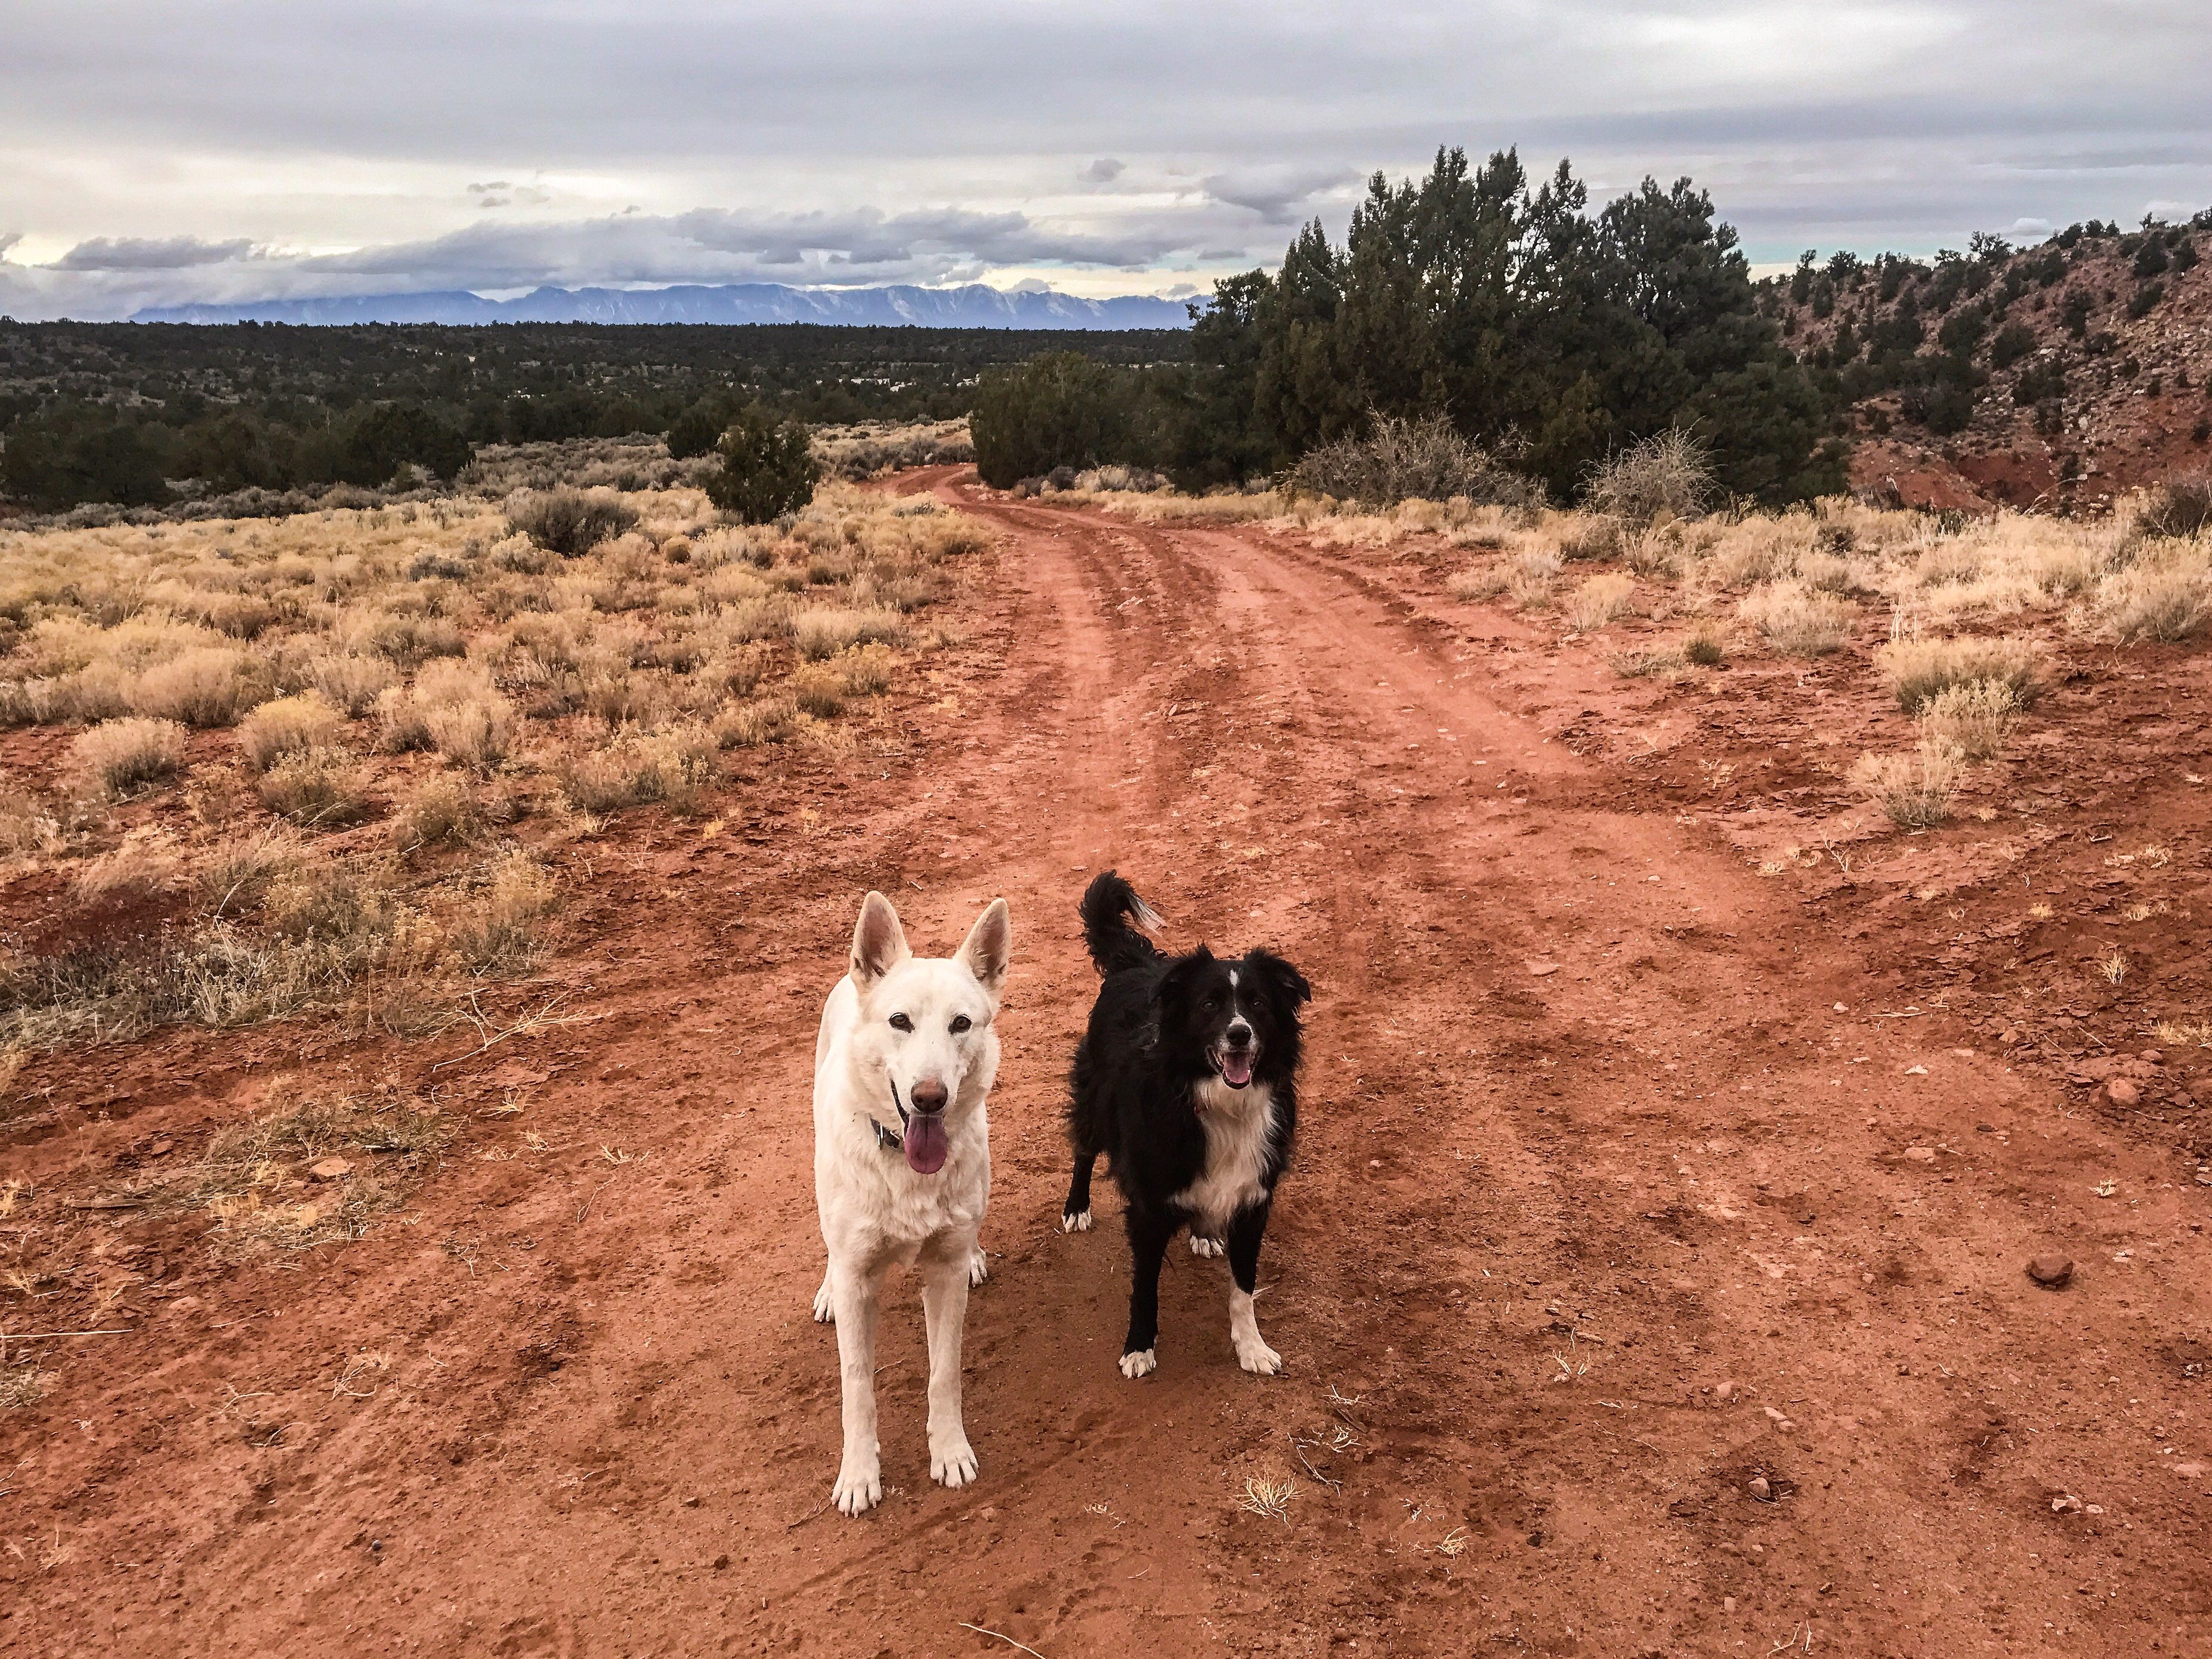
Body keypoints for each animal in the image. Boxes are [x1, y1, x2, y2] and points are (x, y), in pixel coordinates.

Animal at [814, 898, 1013, 1522]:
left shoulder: (943, 1274)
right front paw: (859, 1474)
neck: (905, 1163)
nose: (930, 1098)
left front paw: (949, 1451)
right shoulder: (859, 1278)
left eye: (961, 1024)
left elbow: (943, 1372)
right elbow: (857, 1387)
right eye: (900, 1021)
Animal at [1057, 876, 1300, 1380]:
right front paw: (1138, 1347)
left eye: (1258, 1004)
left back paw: (1204, 1231)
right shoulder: (1149, 1208)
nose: (1239, 1034)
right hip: (1094, 1101)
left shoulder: (1254, 1200)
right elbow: (1145, 1286)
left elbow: (1244, 1286)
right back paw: (1077, 1207)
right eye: (1209, 1004)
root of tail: (1140, 964)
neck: (1219, 1105)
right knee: (1084, 1149)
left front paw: (1252, 1346)